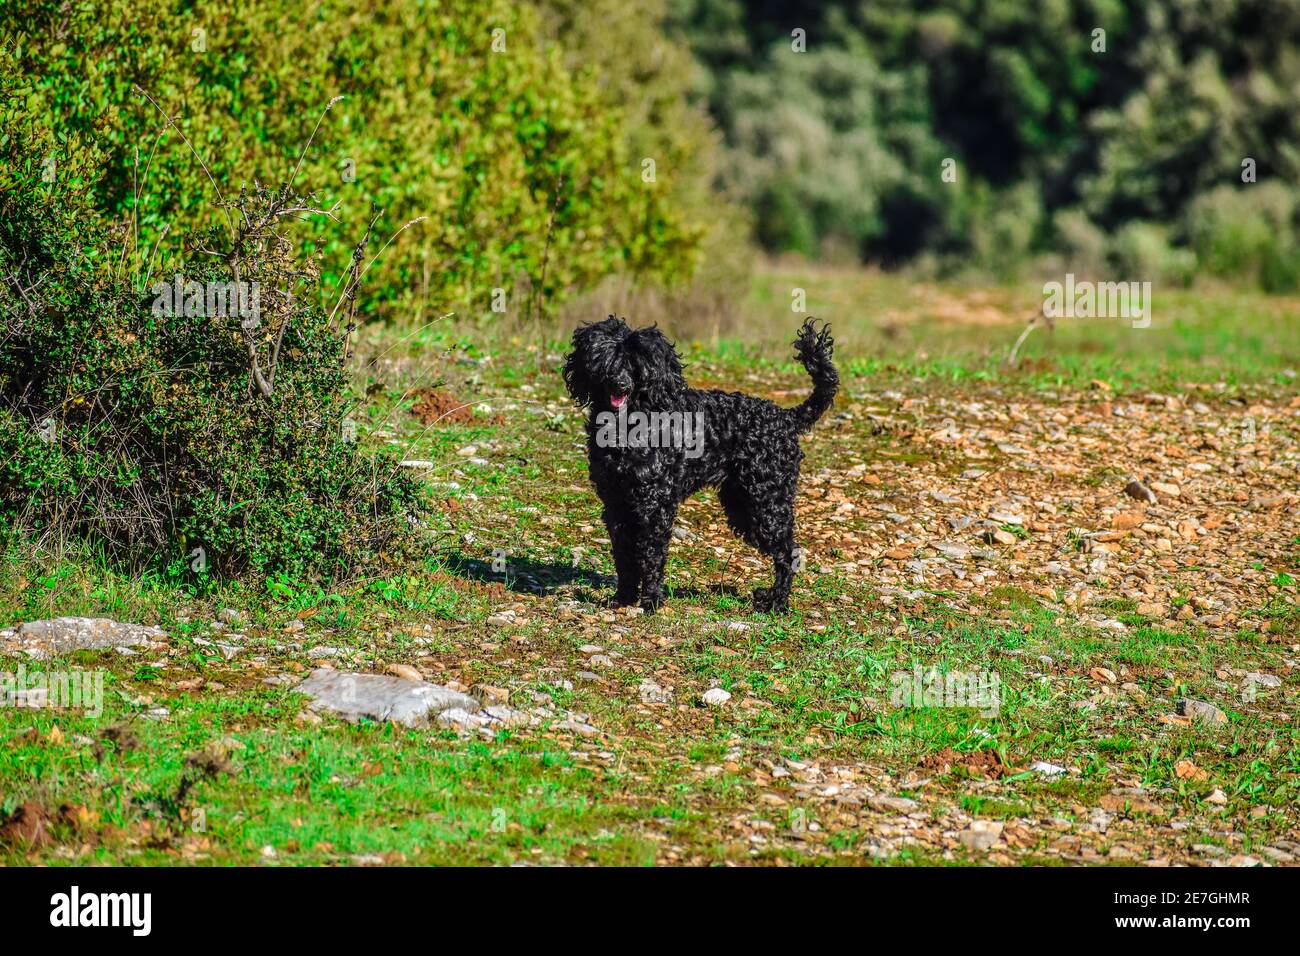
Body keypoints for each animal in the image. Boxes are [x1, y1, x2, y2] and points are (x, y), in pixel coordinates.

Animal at [564, 316, 837, 613]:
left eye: (638, 363)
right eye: (606, 357)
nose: (620, 385)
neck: (631, 423)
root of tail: (787, 418)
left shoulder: (654, 506)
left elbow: (651, 555)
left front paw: (651, 600)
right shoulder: (616, 504)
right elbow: (624, 557)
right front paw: (623, 597)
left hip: (767, 503)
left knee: (788, 552)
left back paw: (776, 601)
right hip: (743, 505)